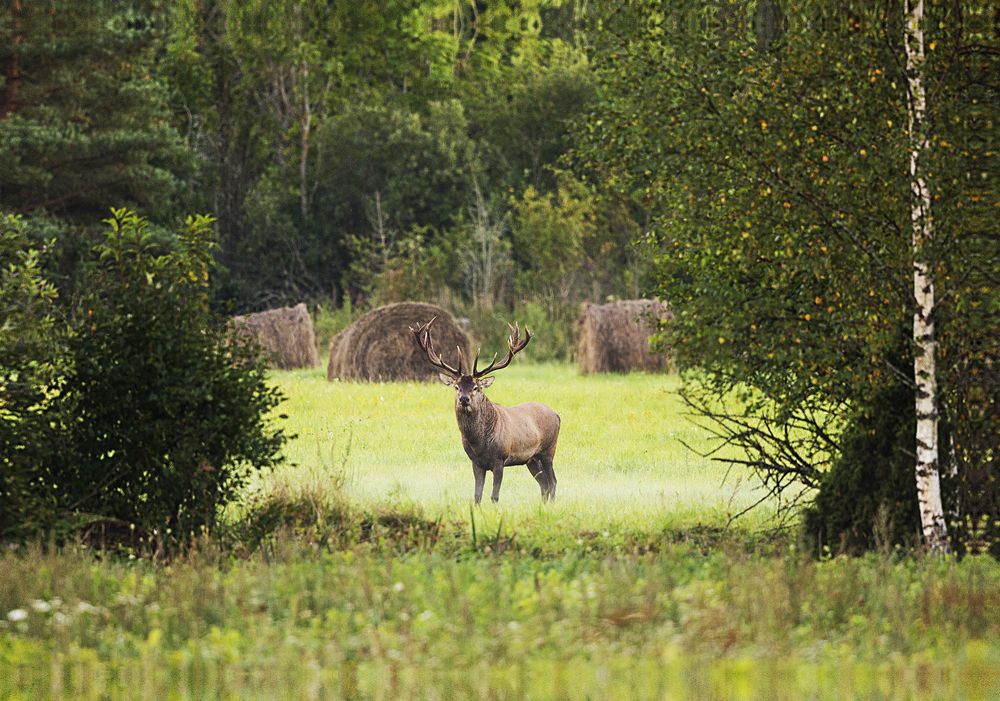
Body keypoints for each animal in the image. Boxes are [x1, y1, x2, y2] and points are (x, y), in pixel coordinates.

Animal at [411, 318, 560, 504]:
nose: (464, 399)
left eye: (476, 387)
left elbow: (494, 495)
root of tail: (557, 414)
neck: (479, 443)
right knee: (543, 484)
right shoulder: (475, 462)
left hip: (548, 450)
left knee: (552, 481)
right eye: (456, 387)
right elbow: (477, 495)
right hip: (530, 459)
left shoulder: (500, 459)